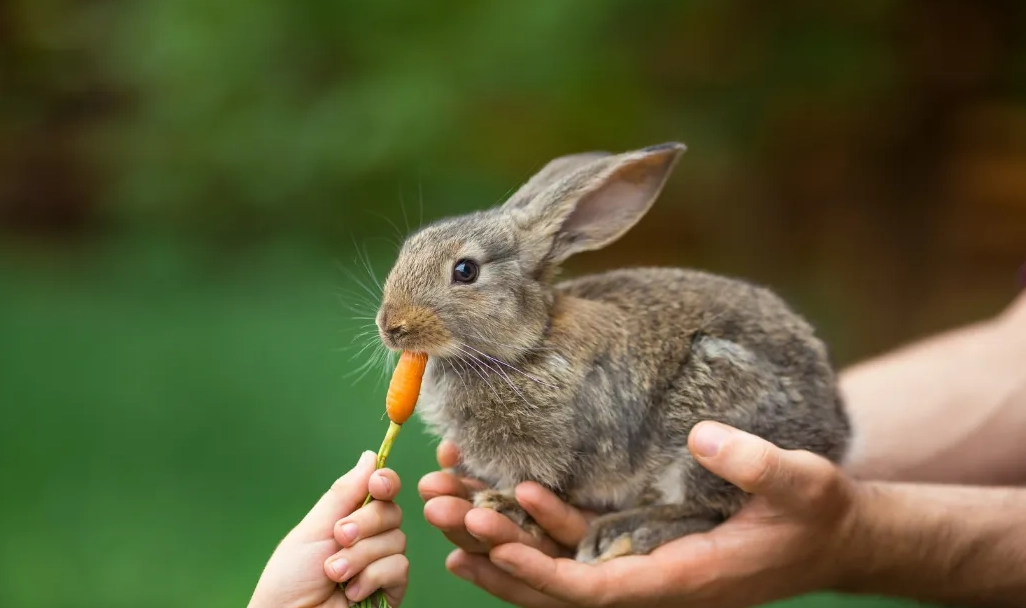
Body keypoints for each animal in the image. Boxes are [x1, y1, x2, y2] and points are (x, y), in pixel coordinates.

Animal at [374, 142, 852, 563]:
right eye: (408, 249)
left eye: (465, 271)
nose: (391, 326)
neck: (528, 344)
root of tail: (835, 437)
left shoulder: (548, 449)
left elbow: (538, 482)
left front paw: (502, 504)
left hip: (706, 424)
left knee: (705, 508)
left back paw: (624, 533)